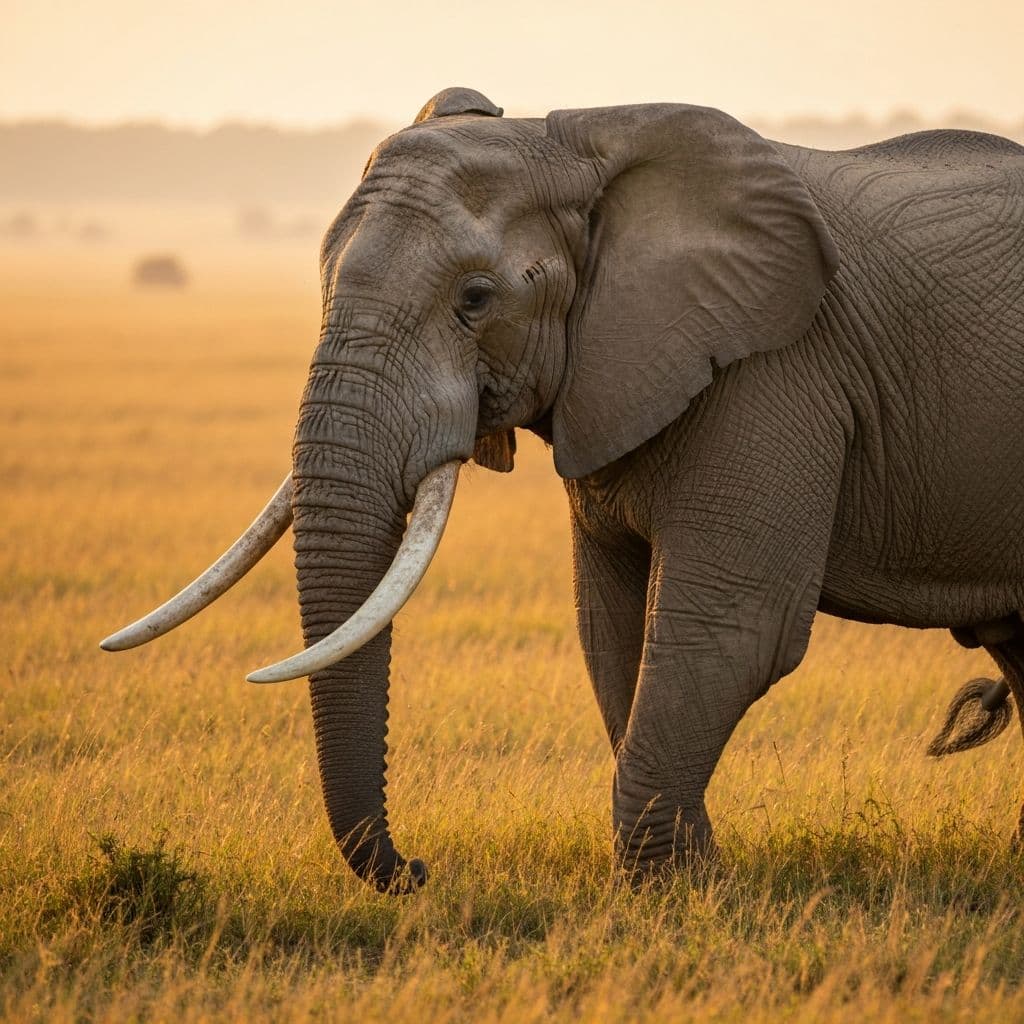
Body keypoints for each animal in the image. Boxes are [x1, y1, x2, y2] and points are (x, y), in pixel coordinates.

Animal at [102, 87, 1024, 893]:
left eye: (476, 300)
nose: (420, 869)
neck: (577, 141)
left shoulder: (777, 371)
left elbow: (728, 629)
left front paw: (673, 895)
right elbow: (611, 626)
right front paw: (695, 882)